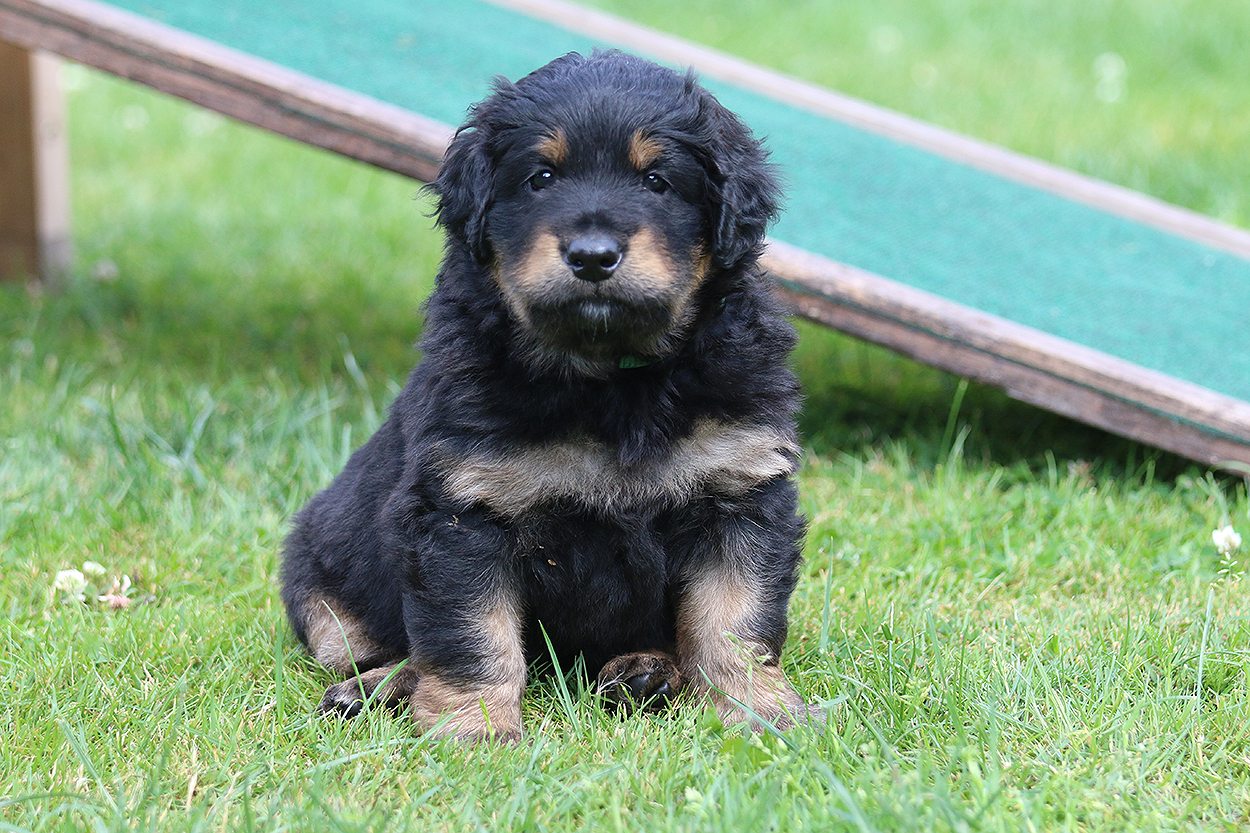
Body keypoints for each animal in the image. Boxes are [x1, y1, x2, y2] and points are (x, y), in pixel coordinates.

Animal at [281, 50, 814, 742]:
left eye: (657, 181)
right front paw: (475, 729)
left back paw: (645, 670)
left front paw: (760, 713)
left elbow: (734, 619)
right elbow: (471, 633)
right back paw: (378, 685)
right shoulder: (463, 509)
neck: (614, 379)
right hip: (320, 590)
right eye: (541, 177)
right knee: (382, 648)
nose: (592, 256)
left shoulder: (740, 490)